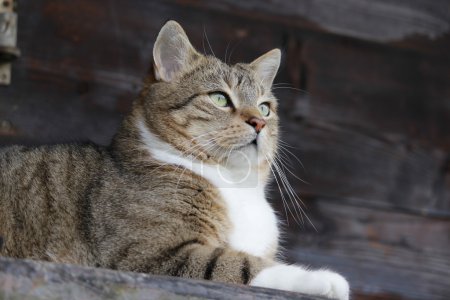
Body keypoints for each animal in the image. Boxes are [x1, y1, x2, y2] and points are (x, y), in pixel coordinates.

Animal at [0, 21, 350, 300]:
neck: (233, 183)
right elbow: (240, 263)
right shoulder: (149, 253)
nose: (259, 123)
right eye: (219, 98)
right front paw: (324, 279)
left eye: (265, 108)